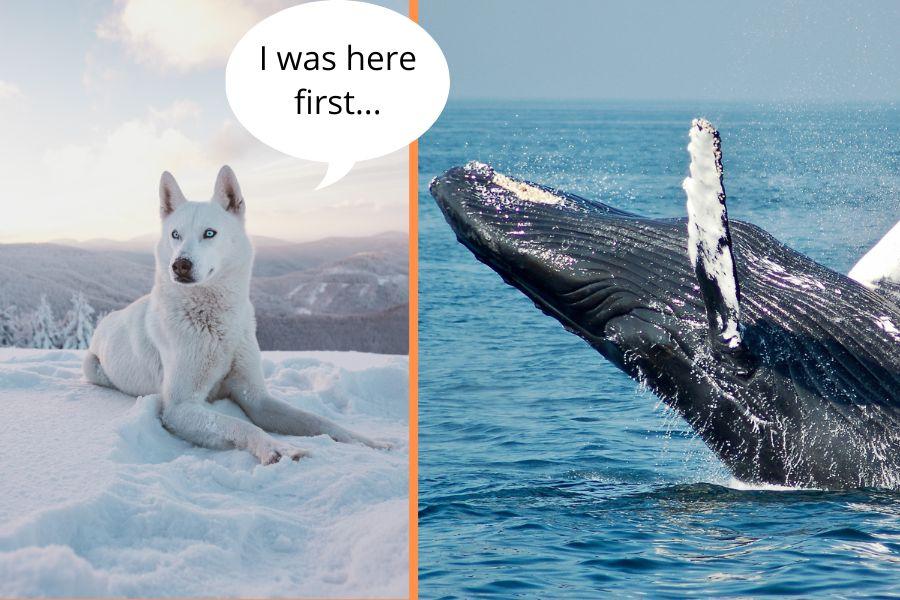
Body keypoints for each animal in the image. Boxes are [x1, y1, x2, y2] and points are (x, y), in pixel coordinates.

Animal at [84, 166, 385, 464]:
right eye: (175, 234)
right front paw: (278, 448)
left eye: (209, 233)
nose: (180, 265)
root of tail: (107, 319)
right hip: (93, 368)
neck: (215, 323)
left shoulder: (256, 398)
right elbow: (240, 425)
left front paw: (367, 442)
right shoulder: (180, 407)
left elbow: (315, 420)